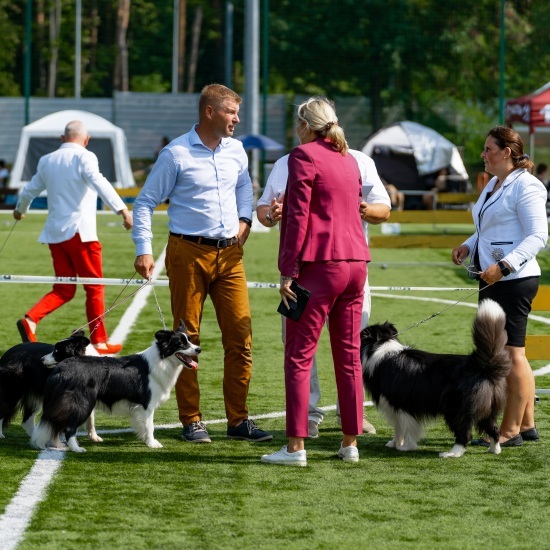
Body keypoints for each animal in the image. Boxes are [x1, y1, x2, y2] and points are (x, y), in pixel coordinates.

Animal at [31, 322, 202, 454]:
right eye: (181, 344)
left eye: (190, 341)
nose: (199, 349)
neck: (162, 360)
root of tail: (61, 367)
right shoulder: (147, 404)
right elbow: (150, 426)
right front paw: (153, 443)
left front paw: (145, 440)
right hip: (82, 403)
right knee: (69, 427)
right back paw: (76, 448)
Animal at [362, 300, 512, 460]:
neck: (379, 349)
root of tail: (482, 367)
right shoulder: (393, 406)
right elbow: (398, 427)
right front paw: (394, 443)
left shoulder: (404, 404)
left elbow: (407, 427)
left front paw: (406, 447)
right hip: (488, 409)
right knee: (494, 429)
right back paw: (494, 450)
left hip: (456, 408)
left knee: (465, 433)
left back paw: (452, 453)